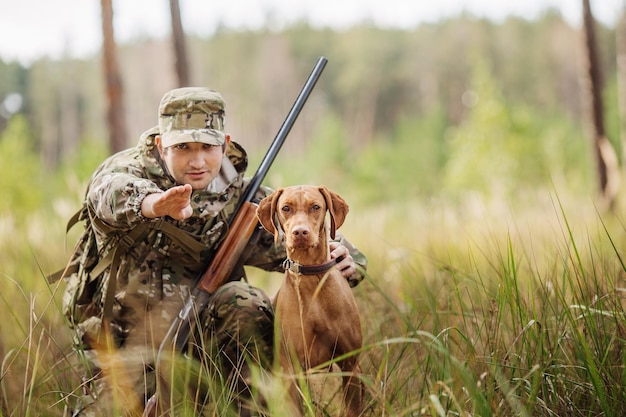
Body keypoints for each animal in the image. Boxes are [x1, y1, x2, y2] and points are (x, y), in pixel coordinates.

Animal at [254, 185, 360, 416]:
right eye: (286, 208)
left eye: (316, 207)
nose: (300, 232)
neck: (312, 279)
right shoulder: (290, 372)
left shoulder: (351, 365)